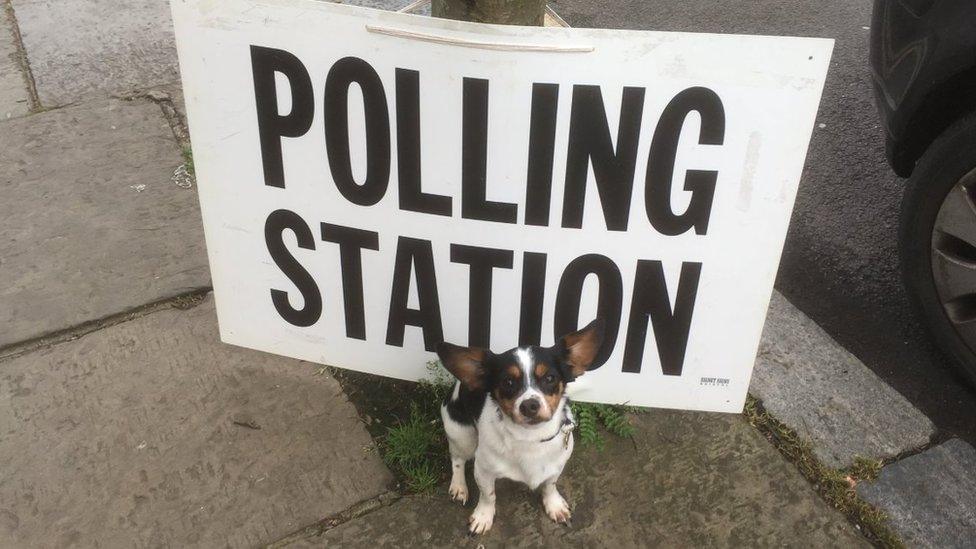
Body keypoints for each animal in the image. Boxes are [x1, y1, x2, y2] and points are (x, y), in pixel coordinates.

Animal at [434, 318, 604, 532]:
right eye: (508, 382)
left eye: (550, 378)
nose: (529, 405)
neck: (530, 438)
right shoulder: (483, 470)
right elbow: (488, 495)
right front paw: (483, 516)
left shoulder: (556, 466)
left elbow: (550, 486)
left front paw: (554, 505)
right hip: (462, 436)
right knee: (457, 460)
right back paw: (458, 487)